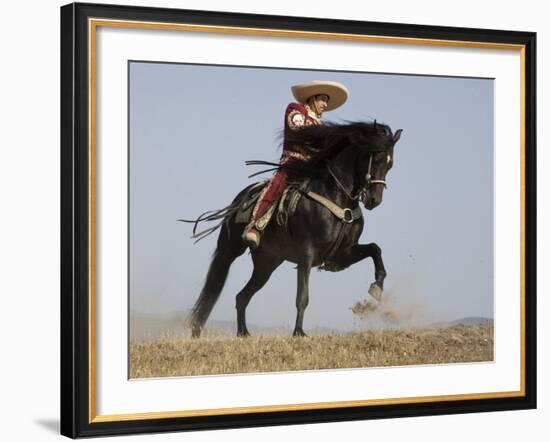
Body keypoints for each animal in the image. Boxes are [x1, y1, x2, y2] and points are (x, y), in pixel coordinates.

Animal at [183, 121, 404, 338]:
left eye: (390, 164)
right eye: (377, 159)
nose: (374, 200)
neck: (338, 199)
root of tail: (239, 200)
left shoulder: (343, 254)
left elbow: (375, 249)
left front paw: (377, 288)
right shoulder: (307, 255)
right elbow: (302, 296)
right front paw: (298, 332)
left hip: (266, 264)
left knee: (242, 297)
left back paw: (243, 333)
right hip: (230, 250)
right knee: (216, 286)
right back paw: (200, 329)